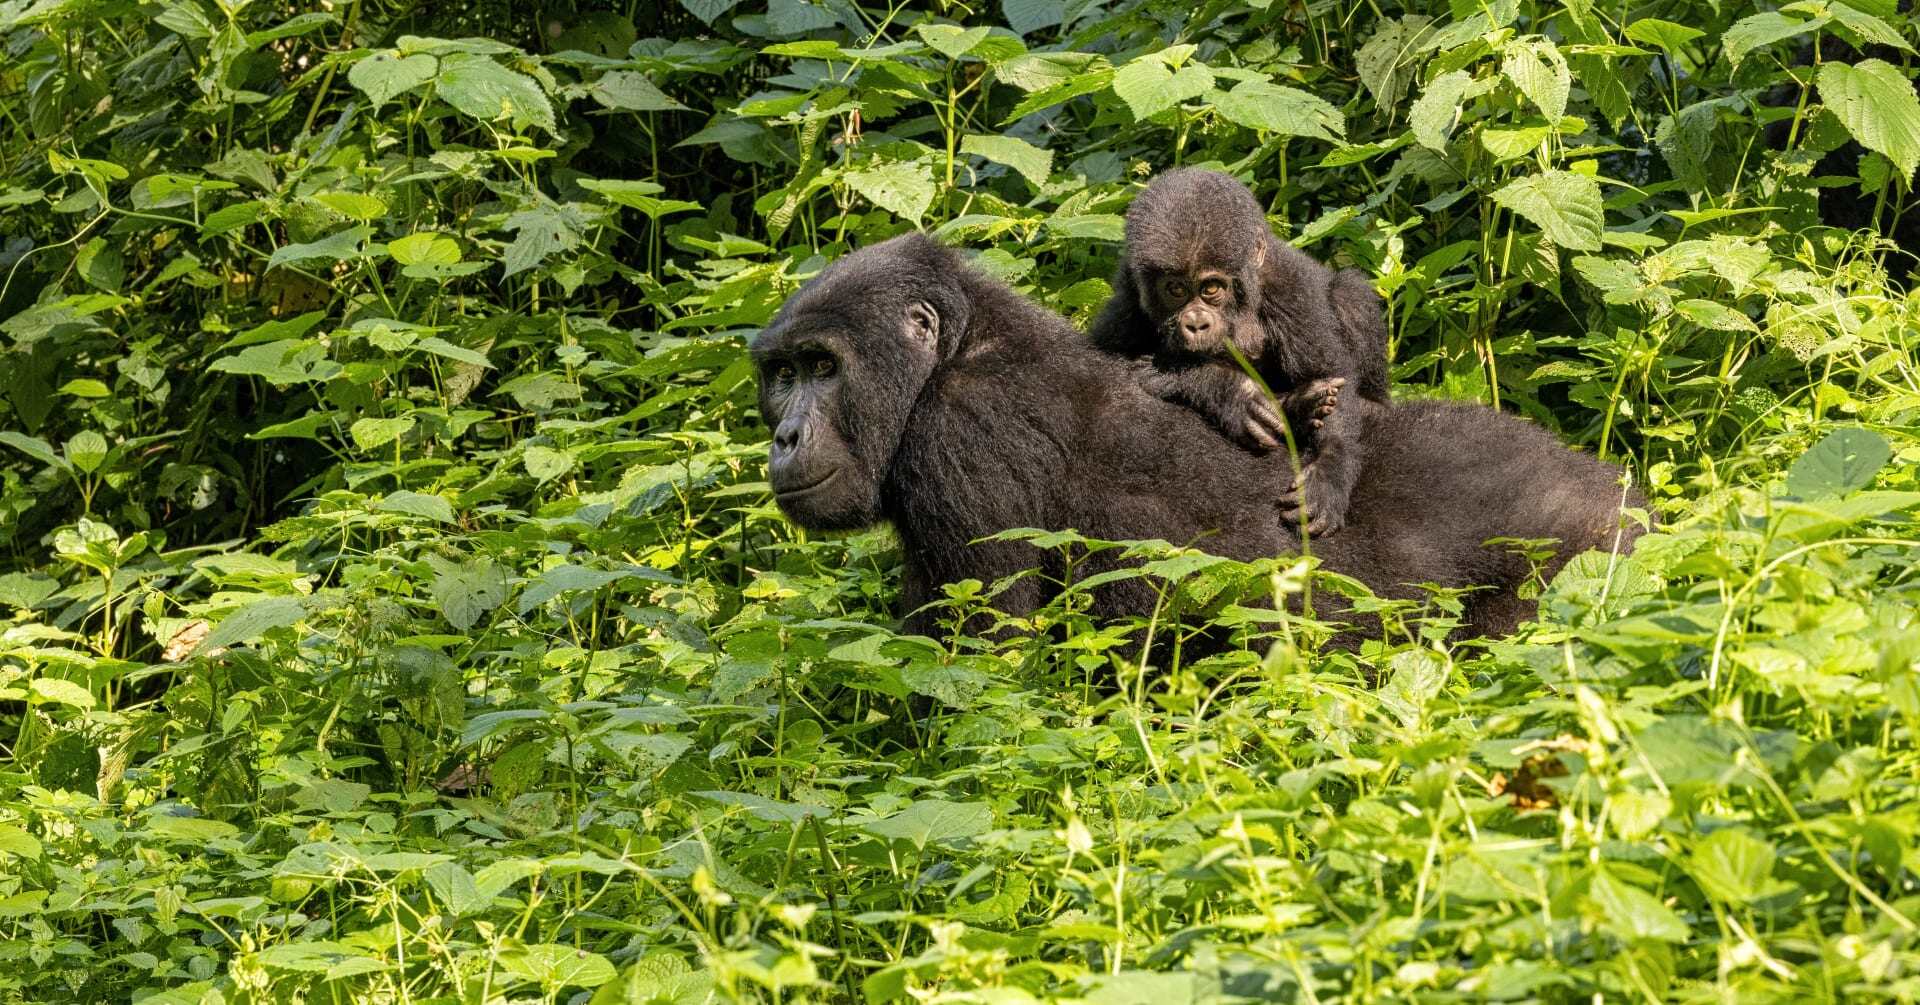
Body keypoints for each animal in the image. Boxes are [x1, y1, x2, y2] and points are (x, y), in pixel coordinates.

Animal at [748, 233, 1635, 641]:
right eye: (781, 374)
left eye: (823, 366)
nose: (786, 436)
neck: (955, 351)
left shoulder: (957, 440)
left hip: (1579, 550)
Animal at [1090, 169, 1390, 538]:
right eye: (1175, 290)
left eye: (1211, 288)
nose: (1196, 324)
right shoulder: (1128, 301)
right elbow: (1109, 366)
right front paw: (1230, 392)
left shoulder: (1289, 286)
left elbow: (1327, 374)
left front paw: (1329, 473)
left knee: (1350, 296)